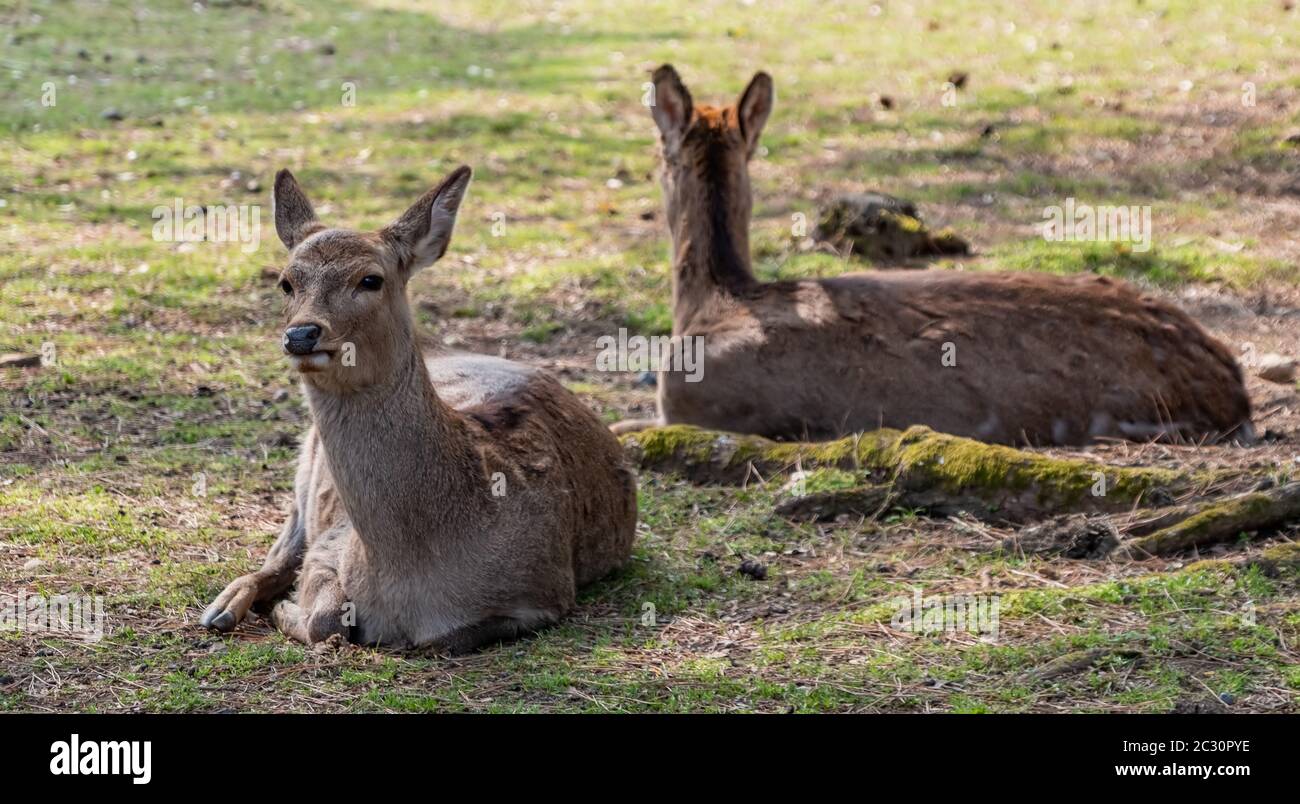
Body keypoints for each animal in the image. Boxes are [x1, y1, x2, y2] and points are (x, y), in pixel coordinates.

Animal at [201, 165, 639, 647]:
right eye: (286, 282)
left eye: (370, 279)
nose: (301, 334)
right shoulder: (331, 543)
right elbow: (326, 617)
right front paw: (288, 607)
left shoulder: (549, 590)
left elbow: (438, 637)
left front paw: (289, 609)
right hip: (303, 470)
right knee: (278, 555)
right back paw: (220, 608)